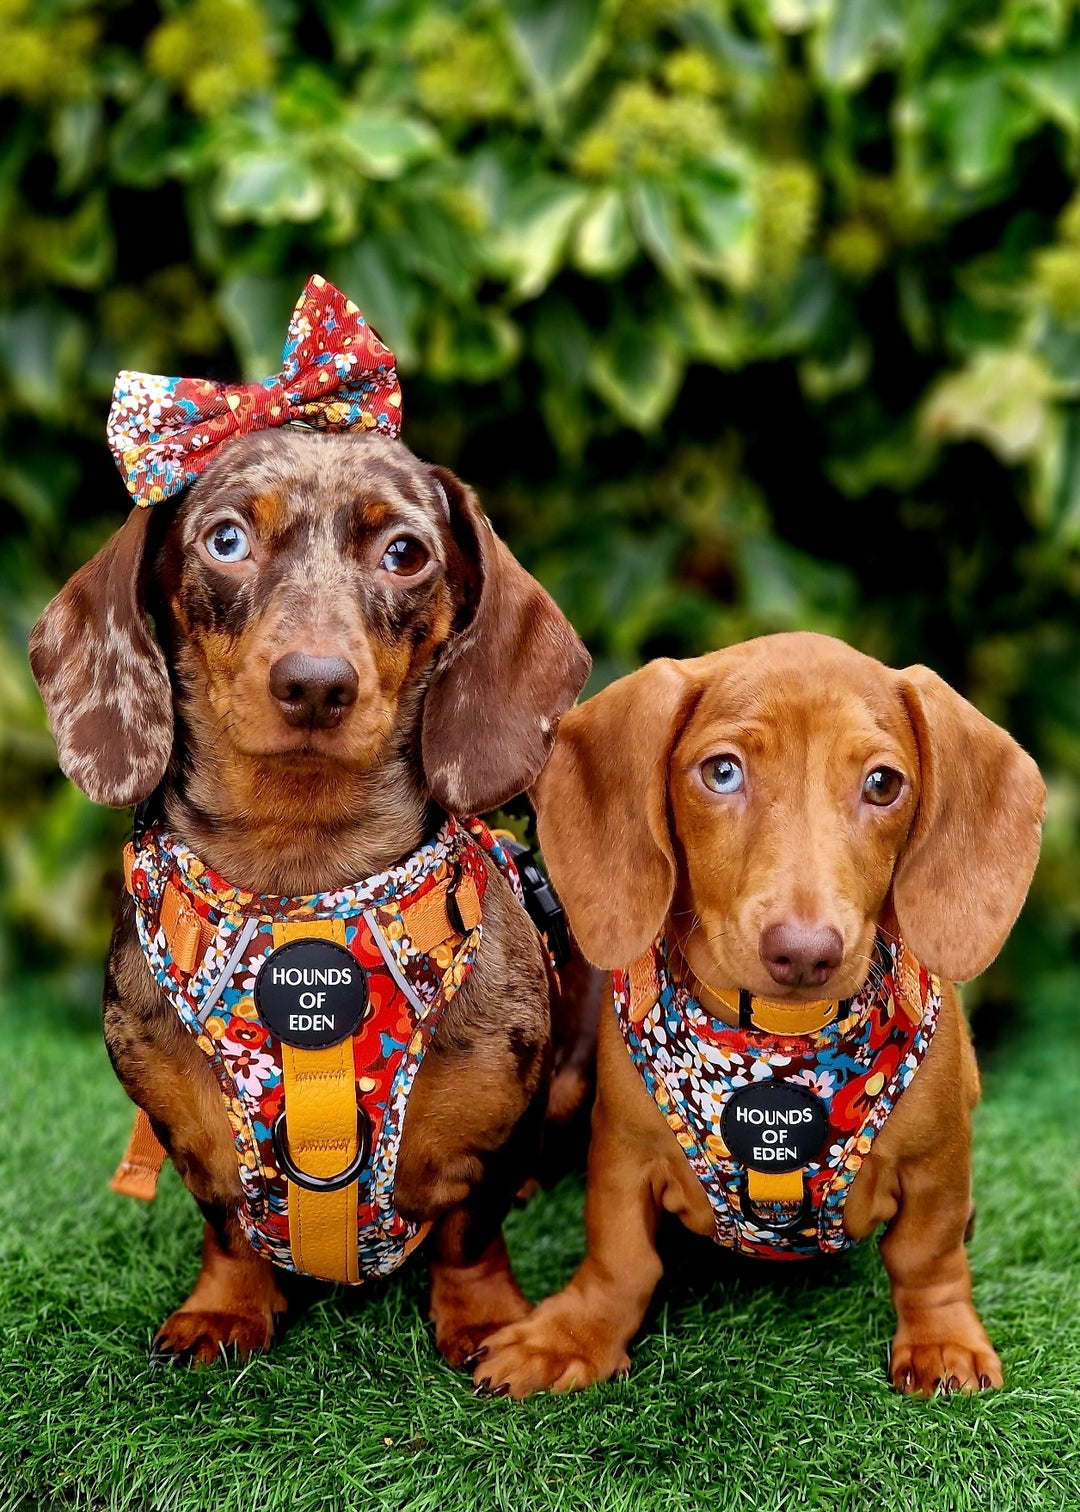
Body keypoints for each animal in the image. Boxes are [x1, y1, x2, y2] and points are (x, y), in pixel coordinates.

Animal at [29, 275, 589, 1372]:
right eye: (226, 539)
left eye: (406, 552)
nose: (317, 685)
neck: (306, 882)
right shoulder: (184, 1128)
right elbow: (225, 1223)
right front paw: (225, 1311)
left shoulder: (499, 1121)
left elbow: (473, 1230)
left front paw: (487, 1323)